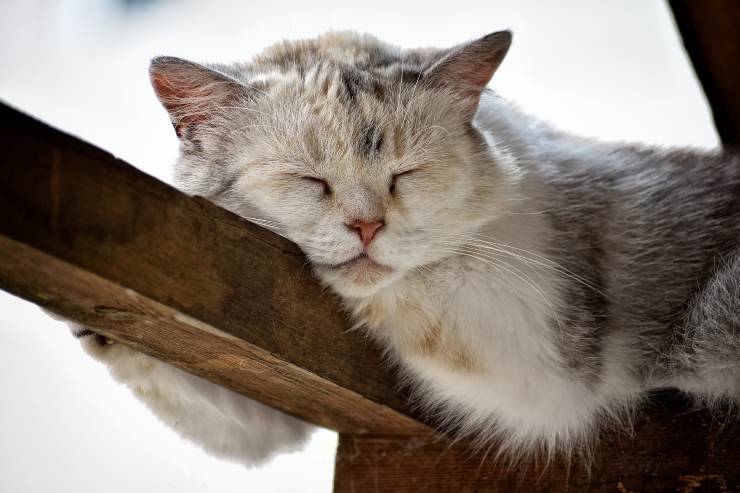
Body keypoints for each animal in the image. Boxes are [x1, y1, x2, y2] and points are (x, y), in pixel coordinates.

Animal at [69, 30, 740, 466]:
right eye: (309, 180)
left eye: (405, 175)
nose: (367, 227)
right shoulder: (276, 407)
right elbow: (197, 399)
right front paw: (95, 317)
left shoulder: (541, 357)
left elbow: (413, 278)